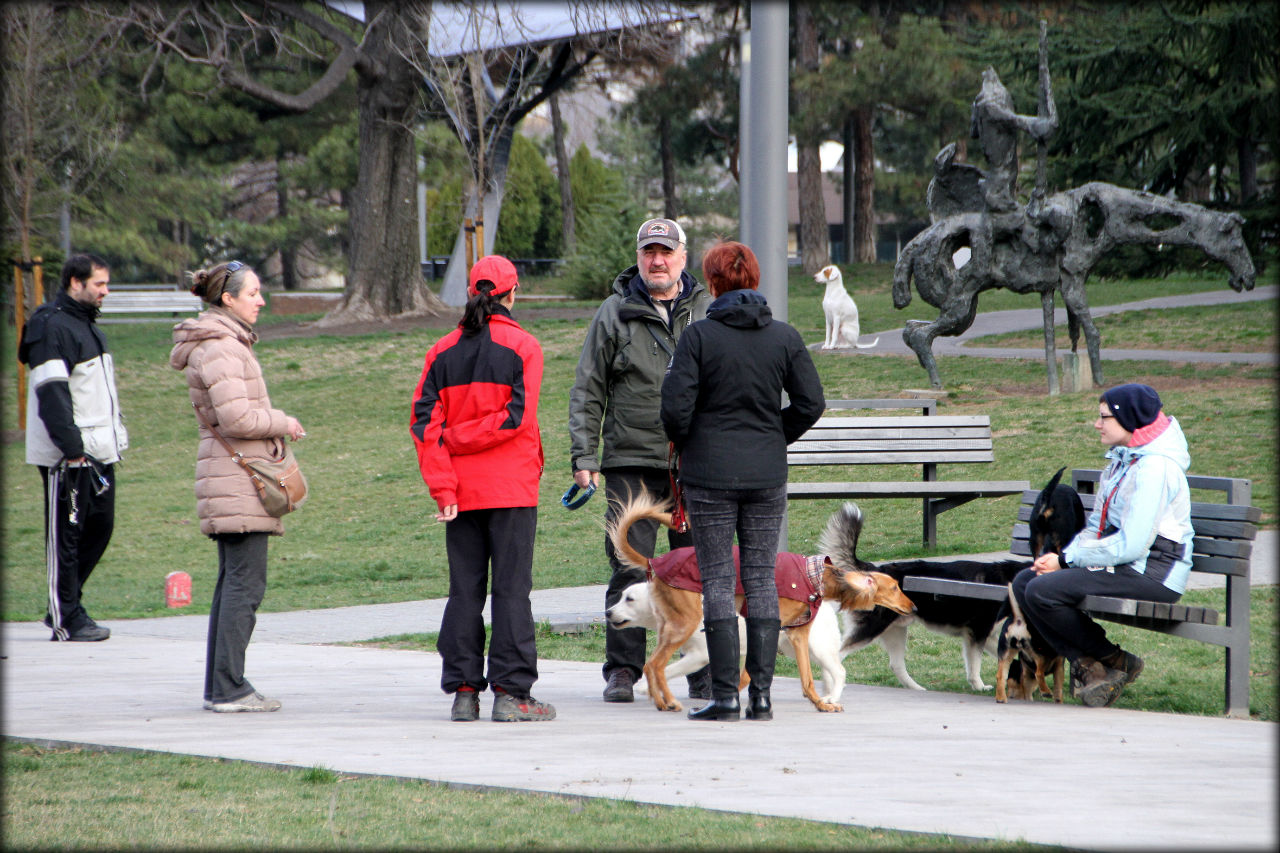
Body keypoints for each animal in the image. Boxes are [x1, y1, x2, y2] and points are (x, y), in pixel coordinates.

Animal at [606, 491, 916, 712]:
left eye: (628, 599)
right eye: (894, 587)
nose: (913, 607)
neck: (816, 574)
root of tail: (654, 561)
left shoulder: (795, 635)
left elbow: (805, 679)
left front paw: (819, 703)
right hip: (683, 626)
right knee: (654, 665)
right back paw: (666, 700)